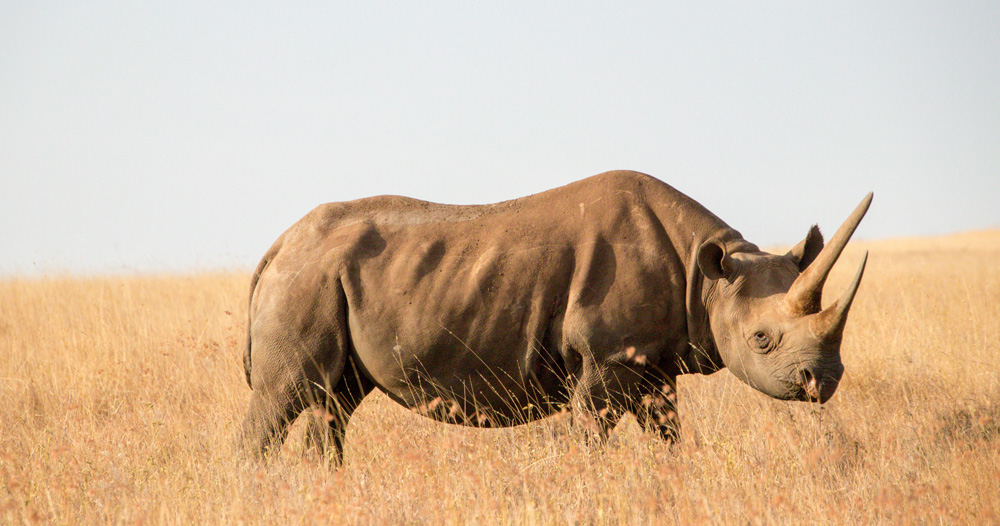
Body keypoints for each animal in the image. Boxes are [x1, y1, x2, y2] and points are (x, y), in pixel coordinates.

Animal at [239, 170, 871, 461]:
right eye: (762, 338)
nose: (824, 381)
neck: (707, 275)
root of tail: (276, 247)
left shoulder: (652, 364)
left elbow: (667, 432)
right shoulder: (605, 359)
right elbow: (591, 435)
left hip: (321, 277)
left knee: (334, 401)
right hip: (306, 281)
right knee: (283, 397)